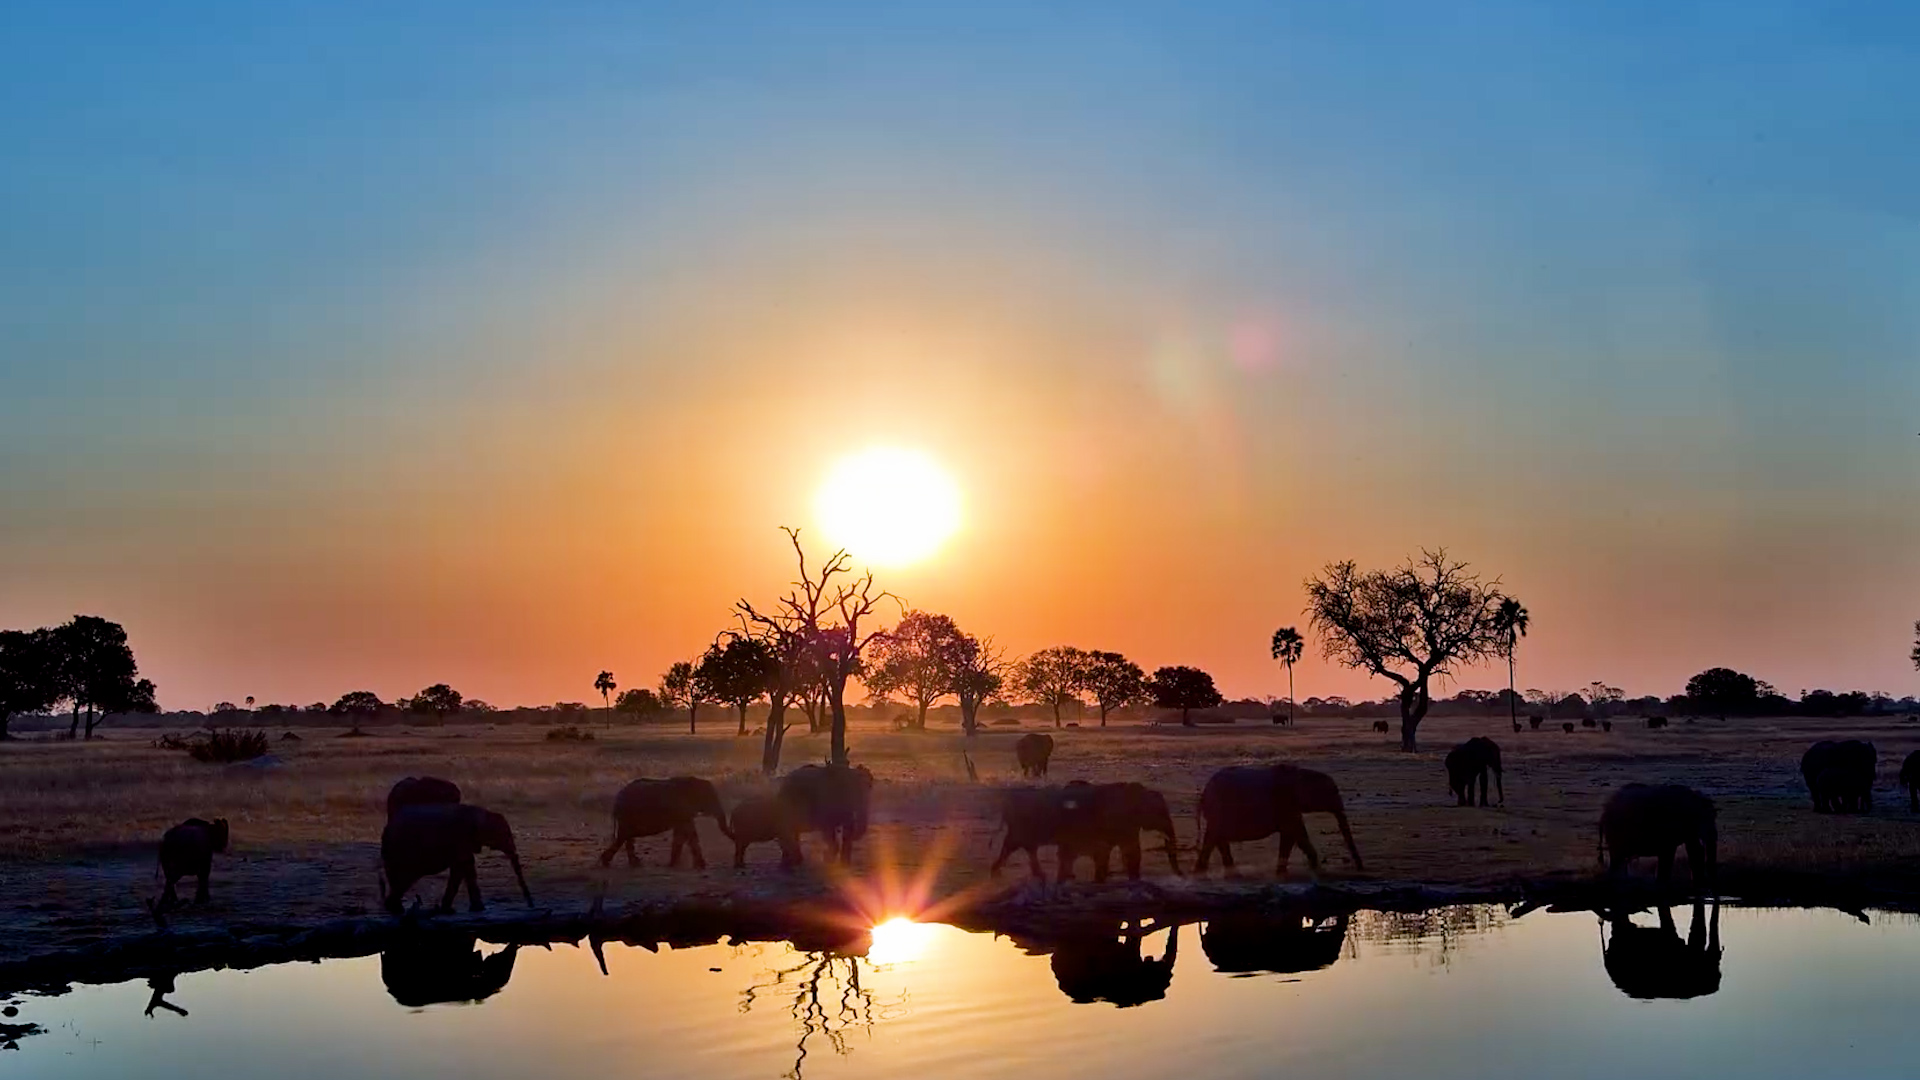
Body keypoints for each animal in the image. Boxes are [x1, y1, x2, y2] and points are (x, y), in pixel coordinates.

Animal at [381, 803, 532, 915]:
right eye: (504, 835)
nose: (531, 905)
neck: (482, 812)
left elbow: (463, 868)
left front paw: (458, 910)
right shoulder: (461, 837)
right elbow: (463, 866)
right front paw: (473, 910)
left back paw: (395, 908)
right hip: (402, 851)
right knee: (406, 877)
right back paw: (395, 908)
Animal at [600, 776, 732, 869]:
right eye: (711, 799)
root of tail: (617, 799)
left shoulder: (682, 814)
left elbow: (681, 834)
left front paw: (673, 864)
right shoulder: (681, 809)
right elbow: (690, 834)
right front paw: (701, 866)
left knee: (626, 837)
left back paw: (633, 863)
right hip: (627, 815)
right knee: (623, 836)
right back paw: (609, 862)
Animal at [1195, 764, 1364, 877]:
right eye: (1333, 792)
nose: (1361, 869)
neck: (1301, 774)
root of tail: (1204, 793)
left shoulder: (1291, 807)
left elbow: (1295, 835)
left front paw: (1311, 870)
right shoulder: (1286, 803)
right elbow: (1293, 834)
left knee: (1217, 839)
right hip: (1218, 810)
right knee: (1214, 837)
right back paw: (1205, 872)